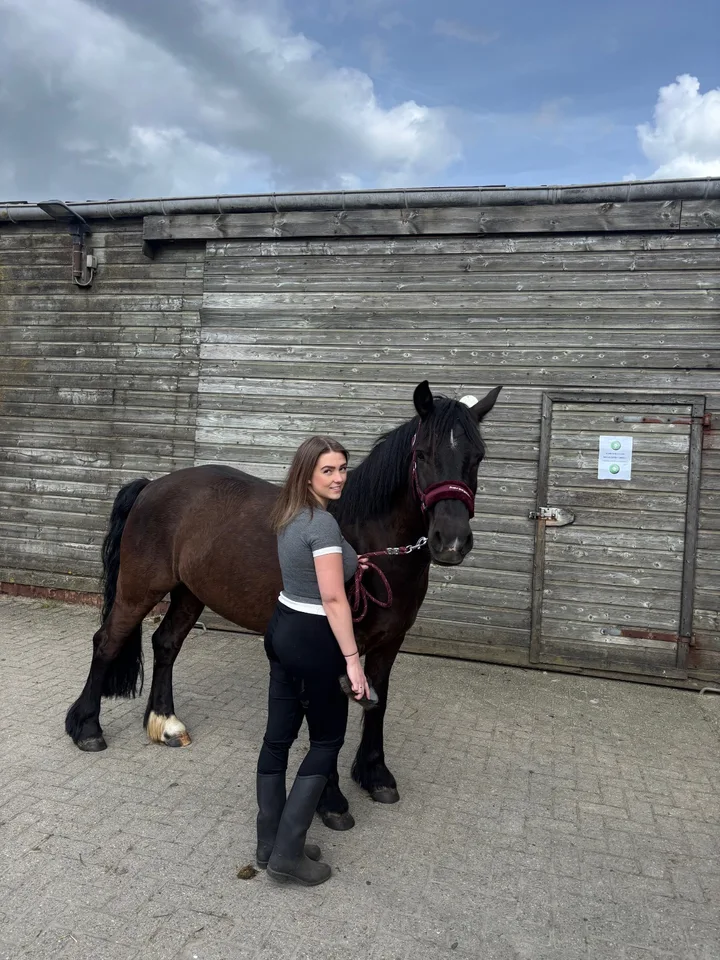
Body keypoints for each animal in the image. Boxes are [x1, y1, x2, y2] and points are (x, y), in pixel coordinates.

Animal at [65, 380, 501, 828]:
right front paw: (331, 801)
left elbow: (376, 704)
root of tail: (153, 486)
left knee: (165, 644)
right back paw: (87, 728)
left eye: (478, 456)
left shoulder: (389, 642)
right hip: (139, 590)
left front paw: (375, 774)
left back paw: (165, 723)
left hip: (190, 593)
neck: (370, 542)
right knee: (107, 642)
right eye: (422, 454)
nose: (451, 541)